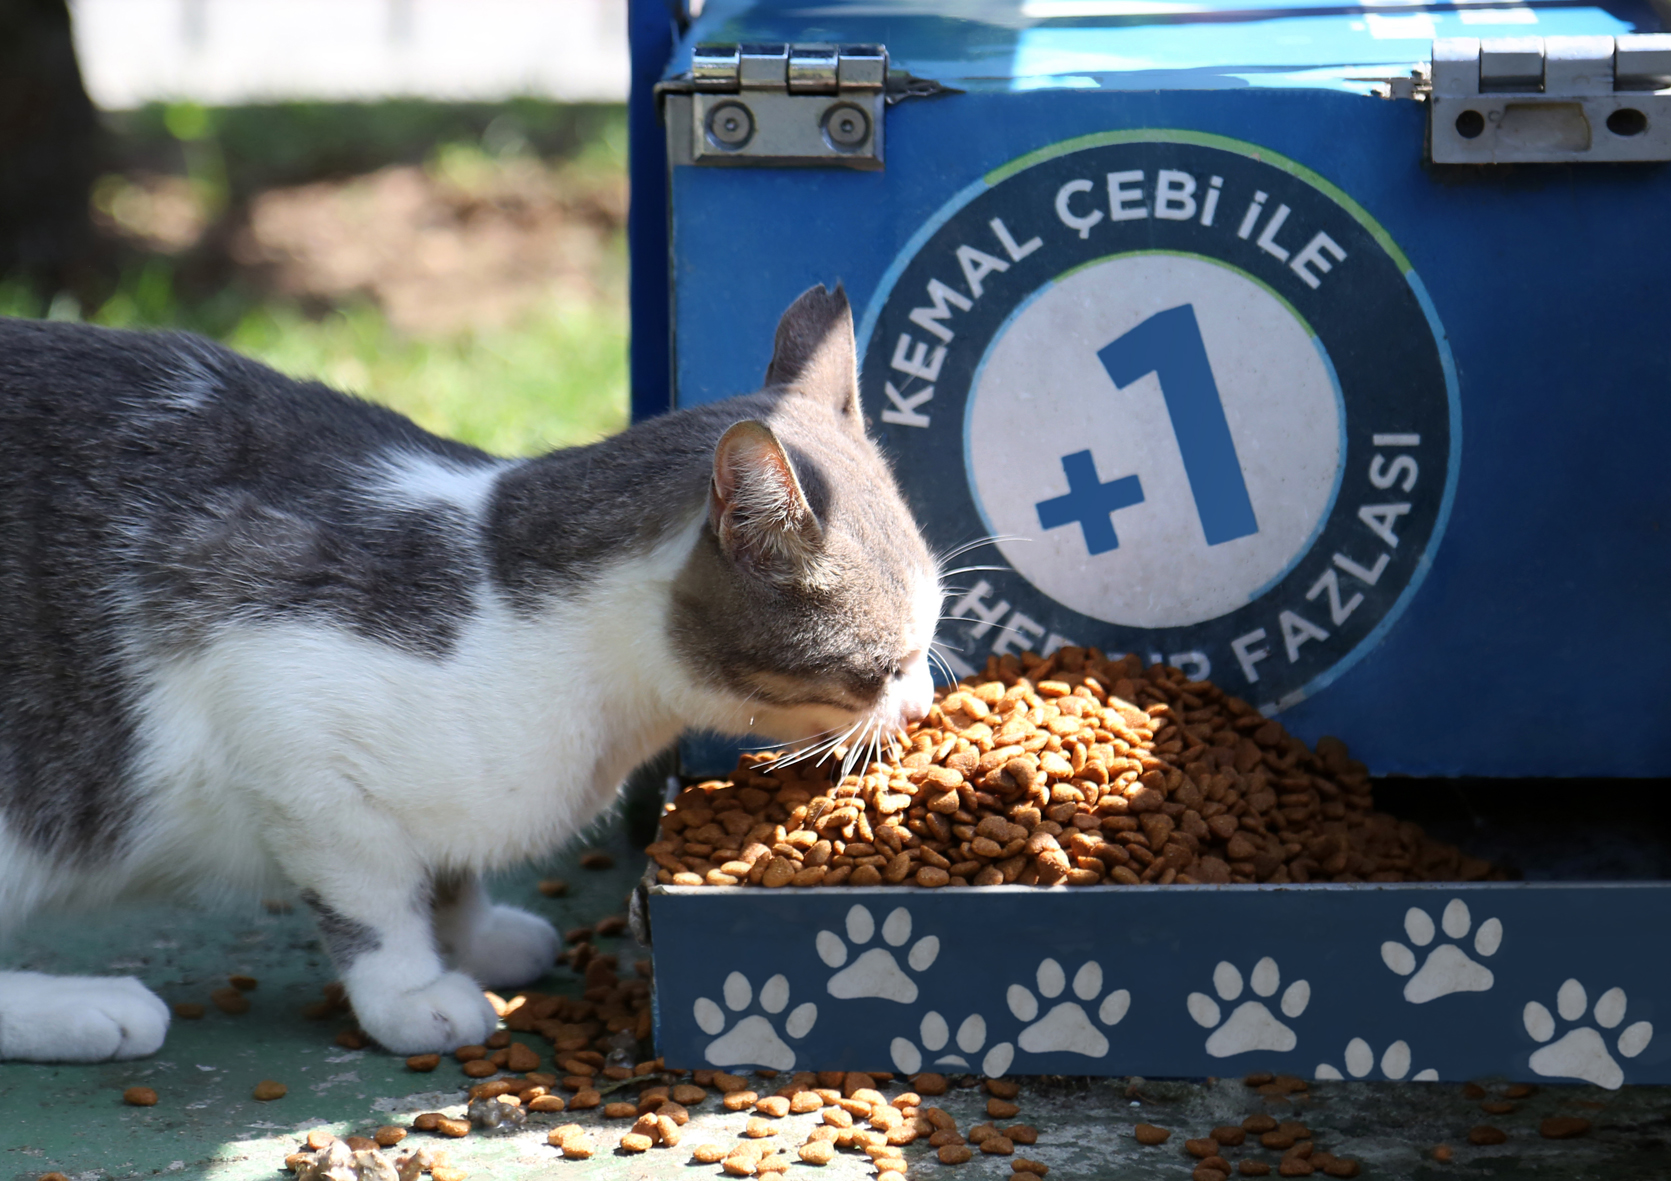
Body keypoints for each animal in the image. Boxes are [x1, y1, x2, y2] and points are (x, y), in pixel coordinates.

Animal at [0, 285, 942, 1062]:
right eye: (887, 664)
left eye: (932, 635)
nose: (926, 704)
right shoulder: (290, 738)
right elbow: (375, 899)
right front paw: (411, 991)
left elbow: (447, 870)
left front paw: (476, 934)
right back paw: (87, 1009)